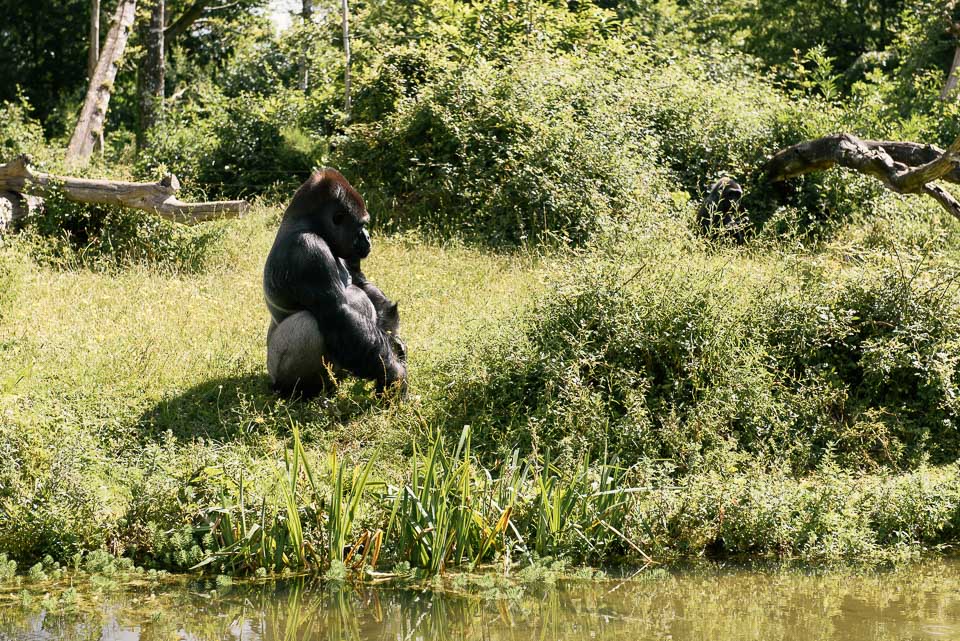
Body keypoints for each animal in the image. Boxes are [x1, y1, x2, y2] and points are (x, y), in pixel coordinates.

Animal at [264, 168, 406, 392]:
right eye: (362, 225)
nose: (368, 237)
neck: (309, 224)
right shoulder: (307, 251)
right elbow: (339, 314)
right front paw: (394, 375)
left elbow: (362, 284)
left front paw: (395, 341)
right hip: (275, 368)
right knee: (309, 324)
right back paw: (302, 390)